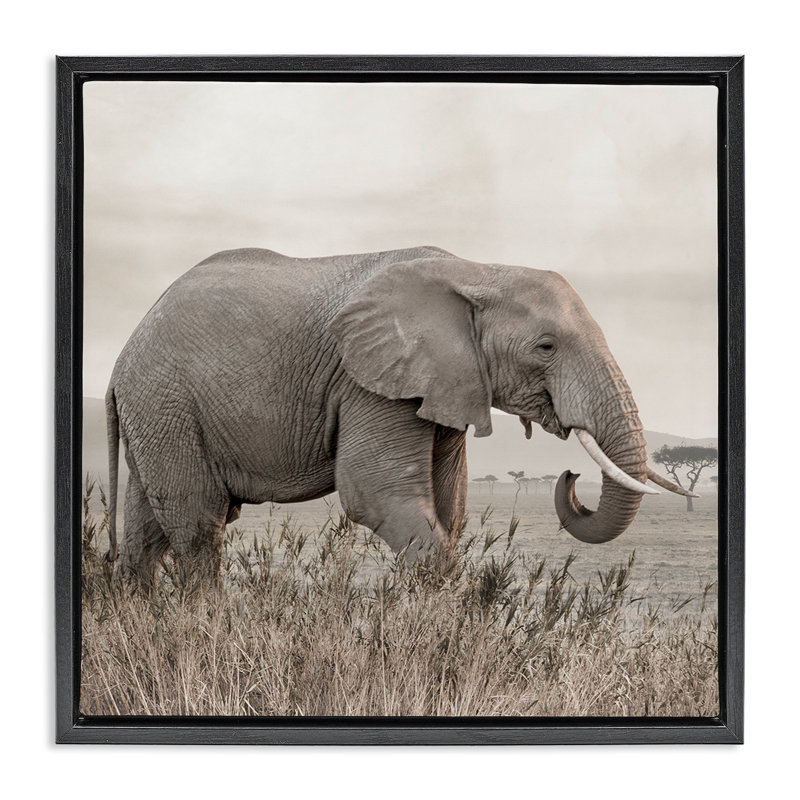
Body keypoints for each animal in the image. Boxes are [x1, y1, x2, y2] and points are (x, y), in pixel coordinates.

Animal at [104, 245, 692, 589]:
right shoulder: (369, 381)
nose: (571, 478)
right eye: (545, 347)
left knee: (149, 529)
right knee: (197, 522)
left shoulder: (448, 384)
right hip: (166, 401)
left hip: (157, 413)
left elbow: (449, 507)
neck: (478, 271)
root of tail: (121, 356)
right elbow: (376, 495)